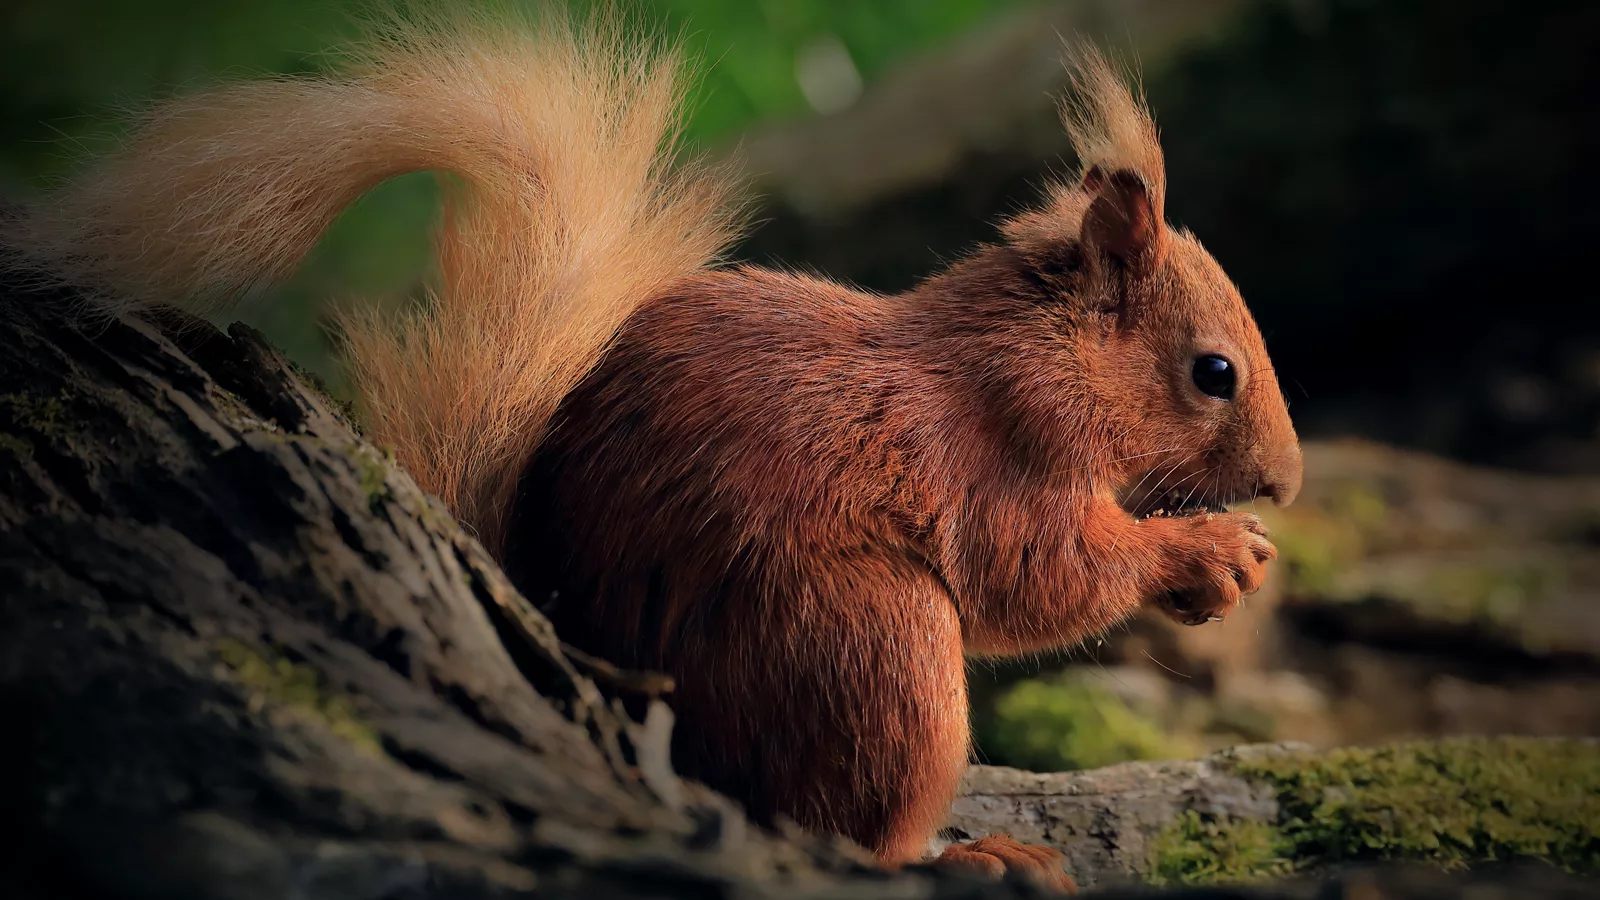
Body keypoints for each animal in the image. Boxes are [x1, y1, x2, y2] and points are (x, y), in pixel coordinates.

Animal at [3, 4, 1301, 891]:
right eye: (1213, 372)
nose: (1287, 484)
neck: (1024, 356)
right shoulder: (988, 456)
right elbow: (1040, 577)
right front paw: (1206, 556)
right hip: (869, 648)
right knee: (841, 831)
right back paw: (965, 856)